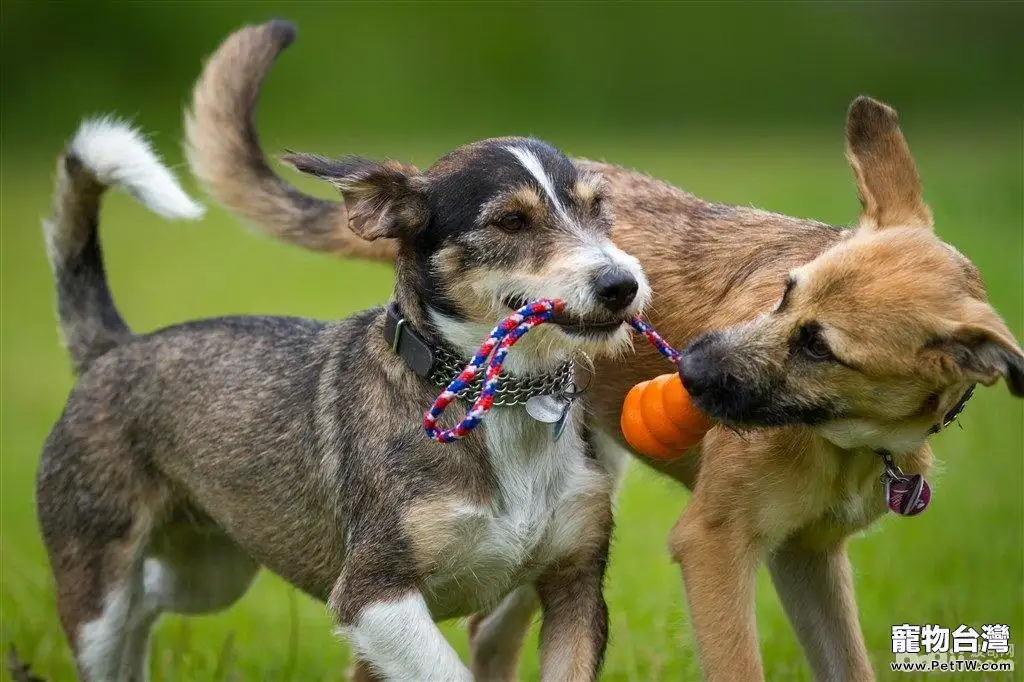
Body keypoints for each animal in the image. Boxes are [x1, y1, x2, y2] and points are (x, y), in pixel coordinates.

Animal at [37, 59, 655, 679]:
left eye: (598, 209)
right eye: (509, 221)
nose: (622, 284)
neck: (500, 401)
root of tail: (113, 347)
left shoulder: (575, 586)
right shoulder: (369, 597)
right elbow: (446, 669)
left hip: (212, 569)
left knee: (149, 601)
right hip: (99, 589)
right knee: (118, 619)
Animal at [186, 19, 1024, 679]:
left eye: (821, 348)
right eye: (783, 293)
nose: (689, 366)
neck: (849, 440)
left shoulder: (808, 558)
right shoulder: (714, 547)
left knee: (489, 633)